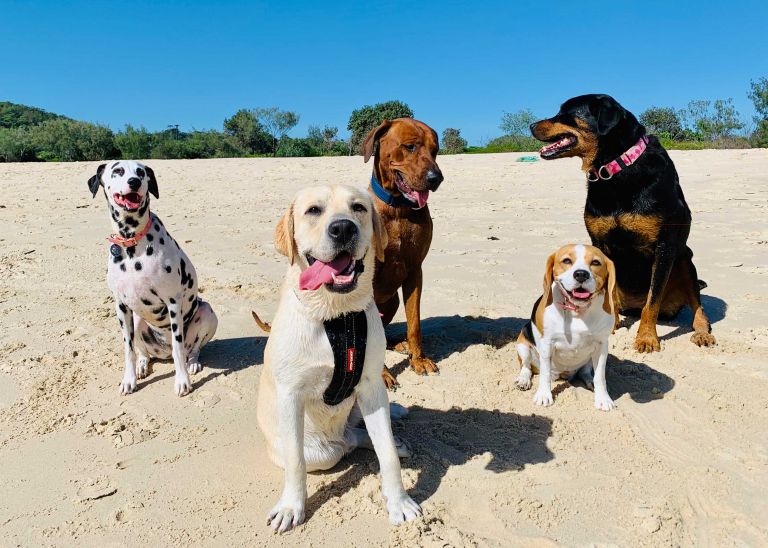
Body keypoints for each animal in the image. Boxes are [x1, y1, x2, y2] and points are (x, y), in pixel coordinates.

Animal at [88, 161, 218, 396]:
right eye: (118, 170)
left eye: (141, 172)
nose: (134, 182)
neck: (132, 245)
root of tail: (162, 352)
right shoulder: (121, 306)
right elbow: (128, 349)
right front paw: (129, 379)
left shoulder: (173, 302)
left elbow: (178, 348)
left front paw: (182, 381)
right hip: (137, 319)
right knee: (143, 352)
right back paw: (142, 365)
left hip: (207, 313)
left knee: (191, 349)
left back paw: (192, 363)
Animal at [364, 118, 444, 388]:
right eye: (410, 146)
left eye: (435, 150)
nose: (436, 178)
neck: (397, 208)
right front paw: (381, 374)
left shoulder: (415, 271)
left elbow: (415, 324)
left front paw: (418, 359)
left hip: (392, 302)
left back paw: (400, 344)